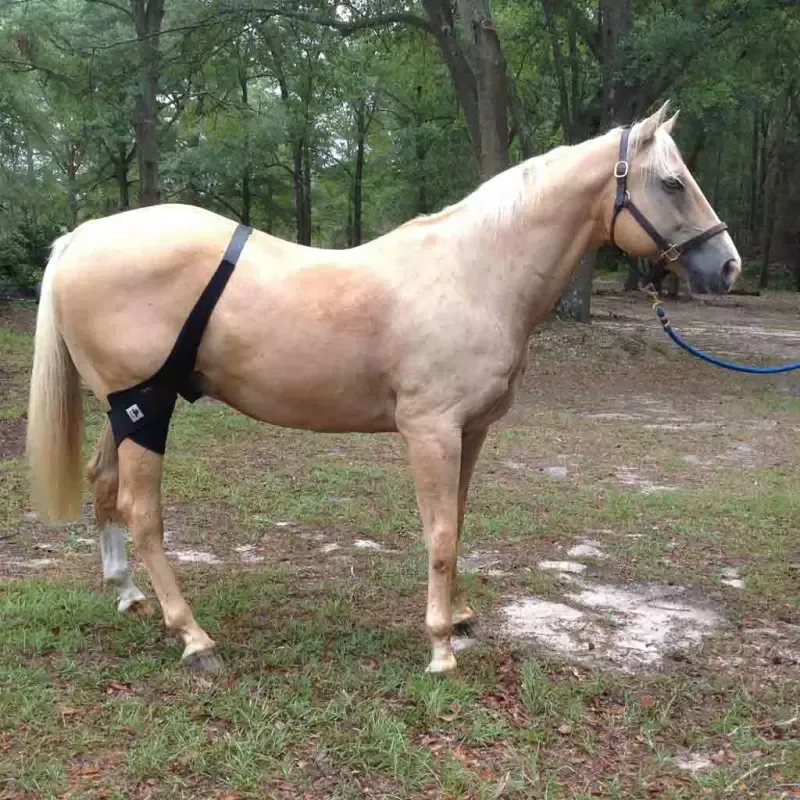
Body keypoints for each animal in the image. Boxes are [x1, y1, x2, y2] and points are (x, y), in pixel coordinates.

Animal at [26, 102, 740, 674]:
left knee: (104, 485)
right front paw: (441, 648)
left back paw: (128, 594)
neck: (474, 273)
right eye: (672, 182)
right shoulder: (431, 432)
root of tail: (82, 237)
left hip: (126, 408)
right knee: (142, 513)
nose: (727, 266)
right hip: (146, 407)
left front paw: (460, 617)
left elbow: (458, 522)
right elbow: (441, 533)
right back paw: (195, 639)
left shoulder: (471, 432)